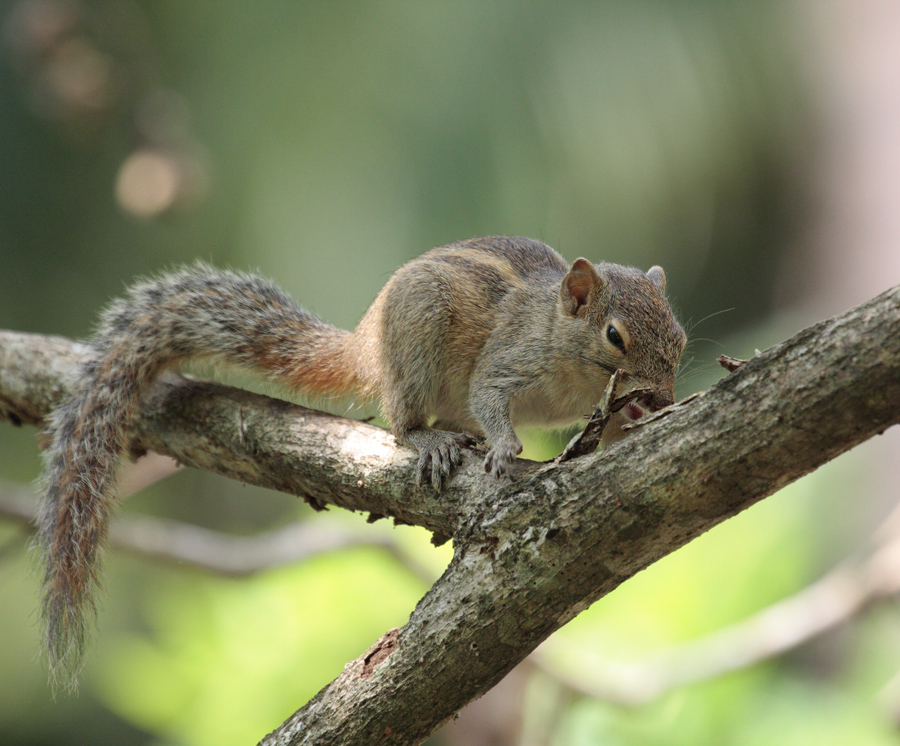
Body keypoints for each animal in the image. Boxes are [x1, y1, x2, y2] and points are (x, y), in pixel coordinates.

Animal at [35, 234, 684, 684]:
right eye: (614, 336)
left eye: (677, 338)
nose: (664, 397)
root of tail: (366, 344)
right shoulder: (508, 361)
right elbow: (490, 398)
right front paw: (503, 445)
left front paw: (637, 421)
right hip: (418, 342)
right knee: (403, 419)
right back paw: (433, 441)